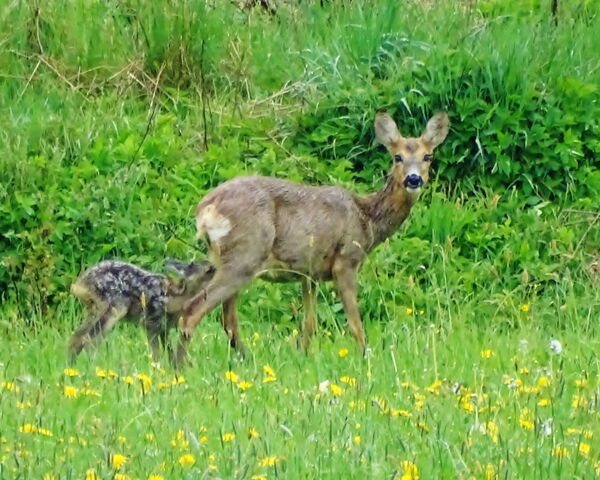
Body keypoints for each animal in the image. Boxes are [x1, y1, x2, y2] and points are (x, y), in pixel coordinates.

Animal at [178, 110, 450, 362]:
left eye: (427, 156)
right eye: (397, 157)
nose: (413, 179)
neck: (366, 218)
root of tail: (205, 209)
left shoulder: (309, 273)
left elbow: (309, 324)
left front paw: (303, 356)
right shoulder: (346, 260)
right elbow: (355, 322)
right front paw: (365, 358)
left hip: (227, 258)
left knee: (227, 320)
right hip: (246, 255)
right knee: (192, 311)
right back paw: (183, 366)